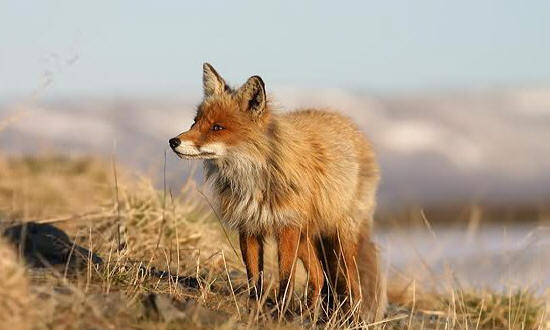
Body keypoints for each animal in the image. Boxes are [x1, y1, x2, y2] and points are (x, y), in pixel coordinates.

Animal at [169, 63, 388, 320]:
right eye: (195, 122)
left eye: (217, 127)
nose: (173, 141)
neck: (255, 179)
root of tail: (350, 125)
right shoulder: (249, 227)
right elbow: (255, 278)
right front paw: (255, 310)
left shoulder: (287, 228)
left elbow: (286, 279)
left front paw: (281, 312)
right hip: (307, 238)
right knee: (319, 277)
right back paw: (310, 313)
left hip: (340, 240)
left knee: (352, 284)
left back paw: (347, 317)